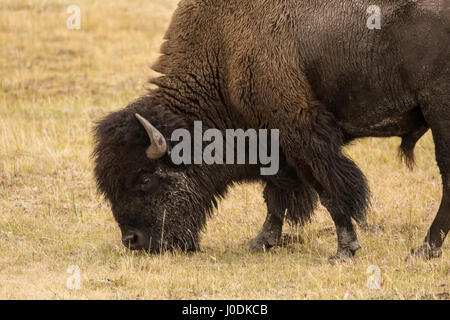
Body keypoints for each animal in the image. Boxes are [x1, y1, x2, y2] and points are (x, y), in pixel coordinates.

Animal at [93, 0, 448, 262]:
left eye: (145, 179)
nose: (133, 240)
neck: (222, 54)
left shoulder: (301, 135)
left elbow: (329, 190)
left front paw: (344, 251)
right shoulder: (273, 145)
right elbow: (275, 195)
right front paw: (262, 242)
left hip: (439, 115)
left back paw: (424, 250)